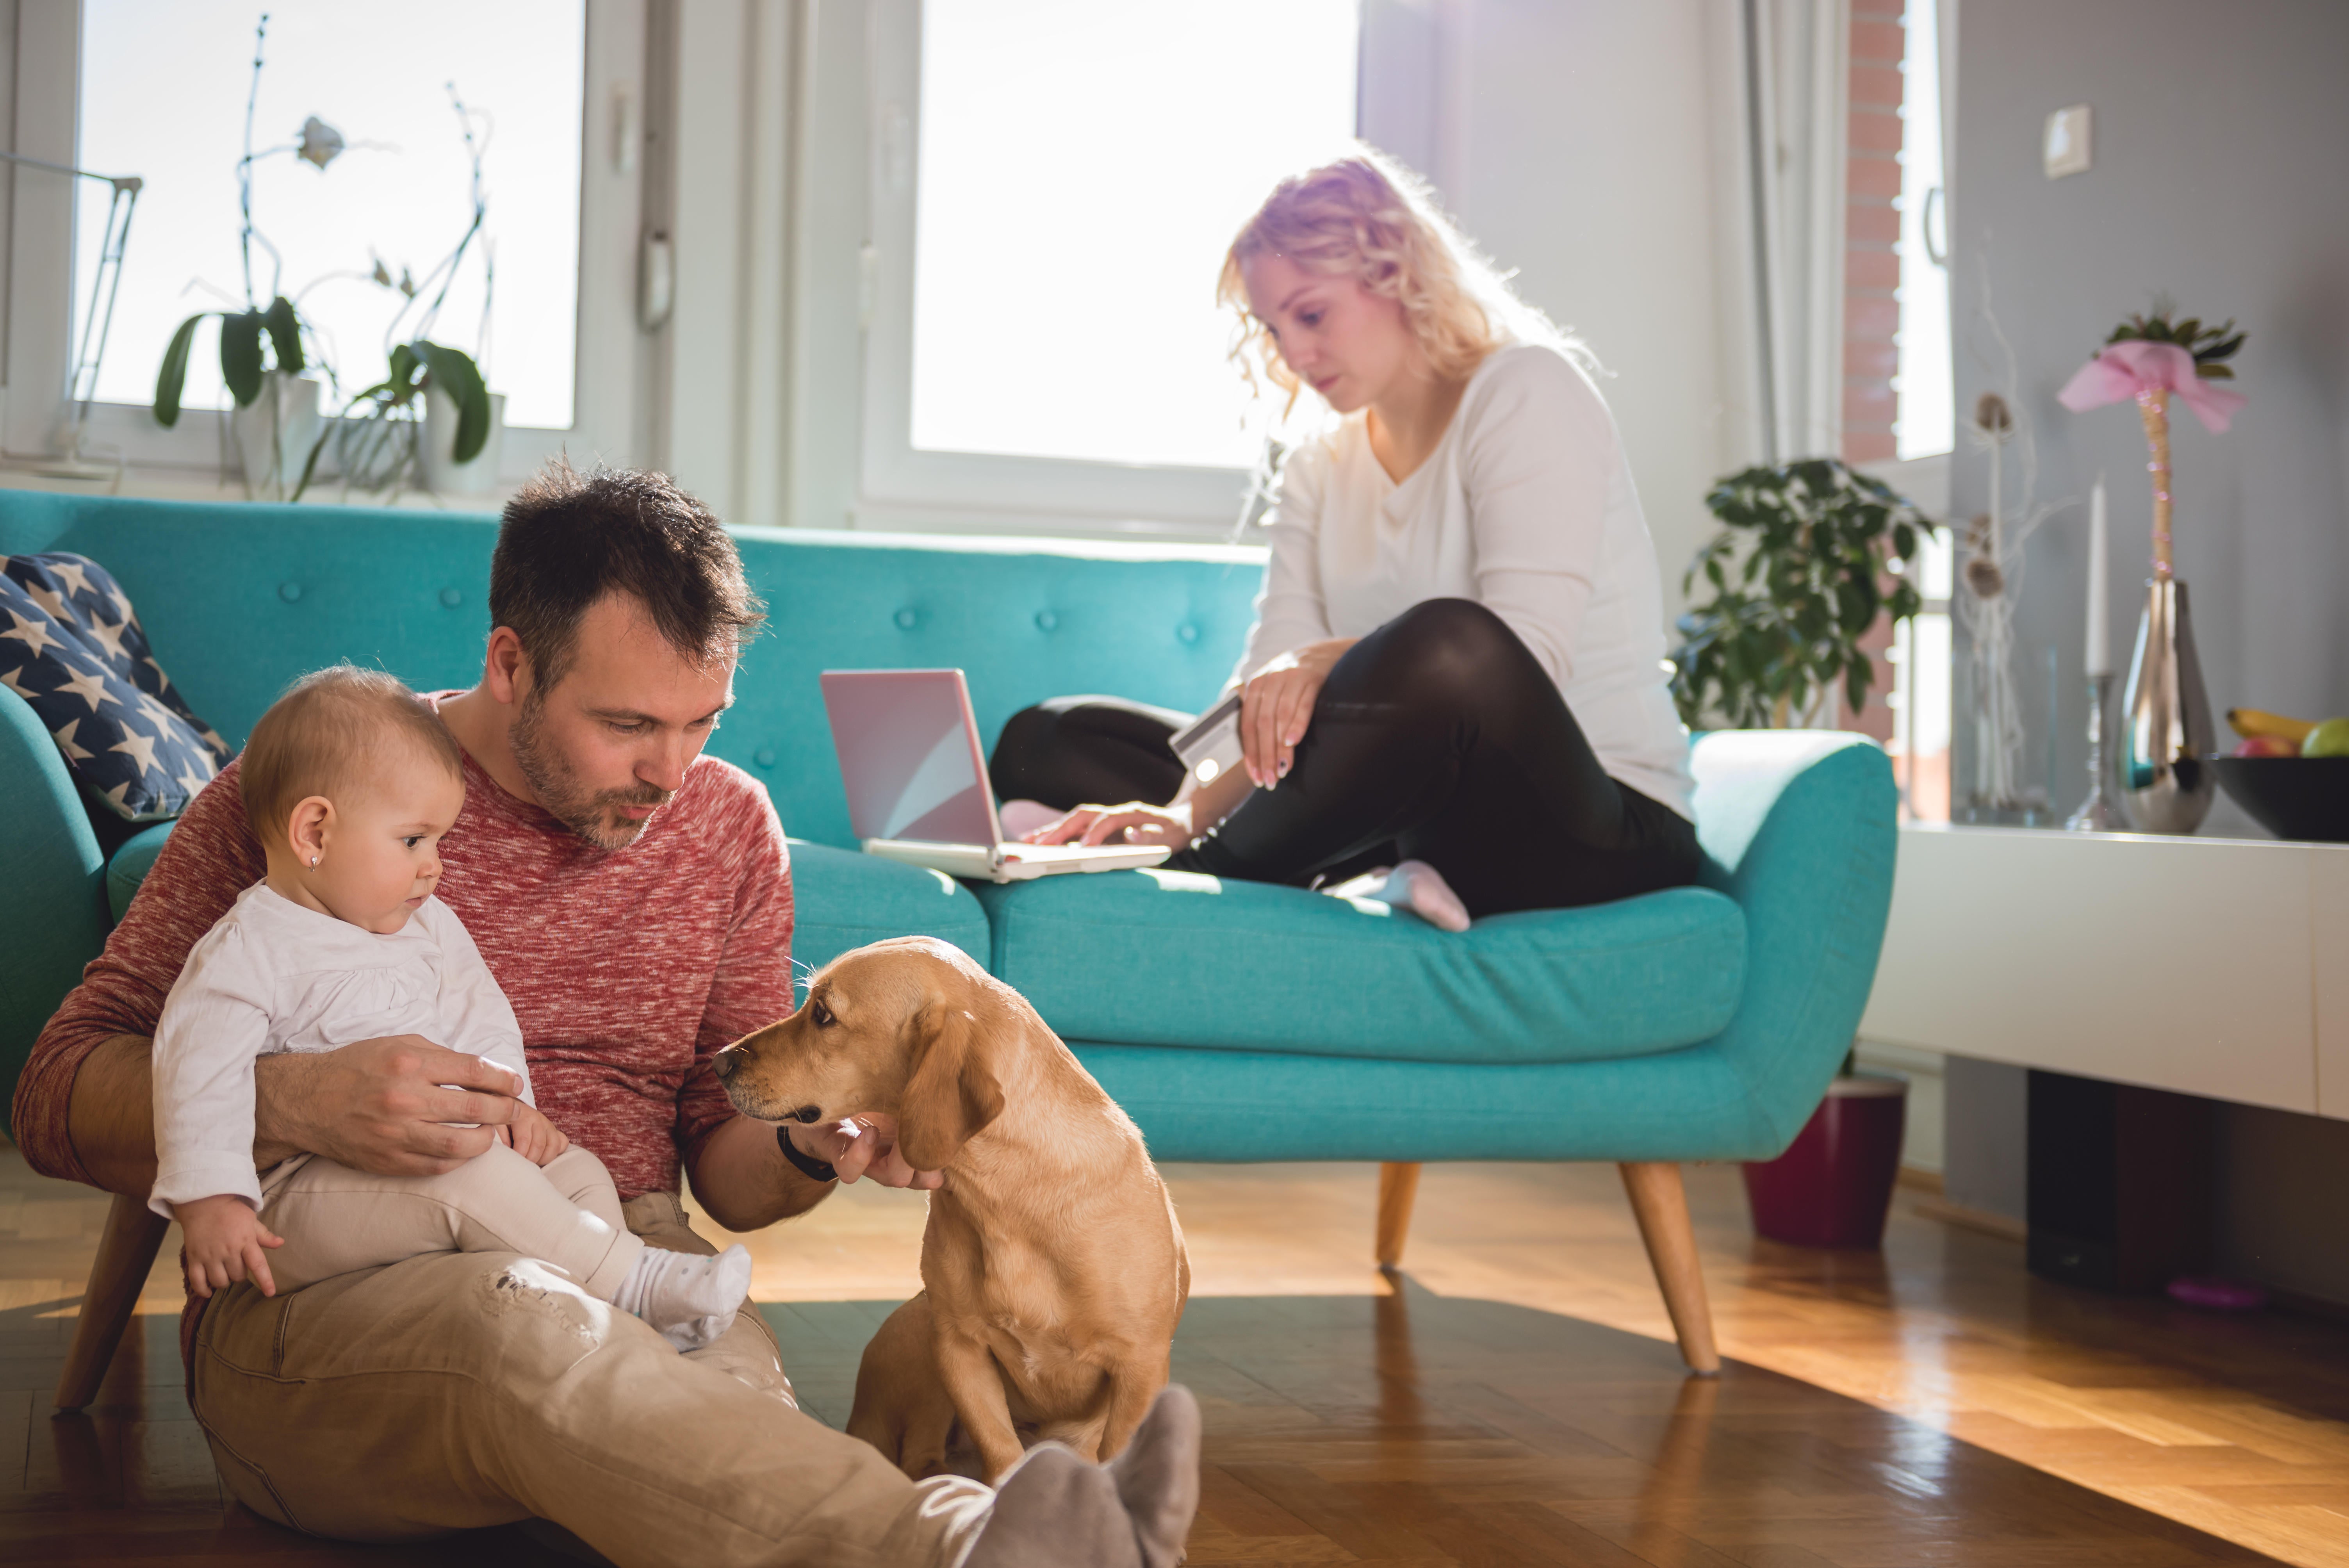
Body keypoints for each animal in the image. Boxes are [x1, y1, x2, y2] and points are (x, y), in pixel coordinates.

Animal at [709, 939, 1193, 1493]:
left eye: (824, 1014)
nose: (718, 1062)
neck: (1003, 1196)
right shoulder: (959, 1345)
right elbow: (1001, 1449)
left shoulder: (1139, 1367)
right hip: (922, 1334)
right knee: (919, 1455)